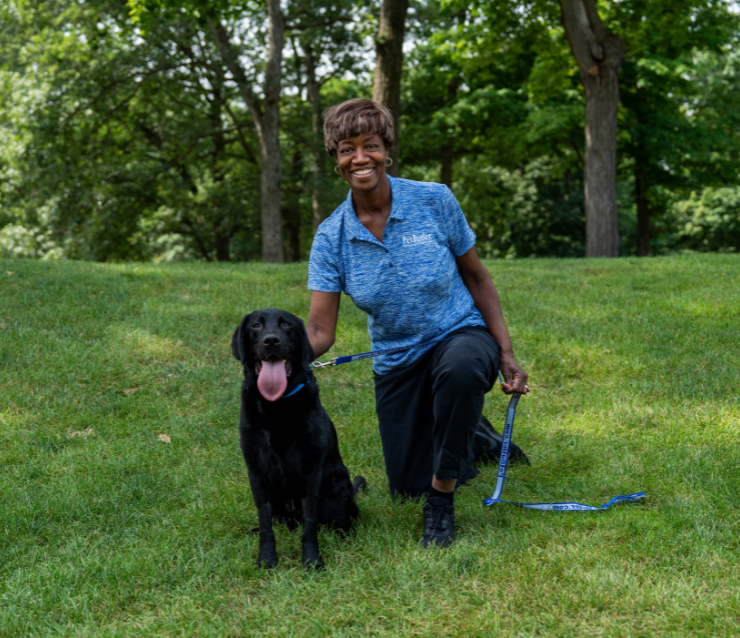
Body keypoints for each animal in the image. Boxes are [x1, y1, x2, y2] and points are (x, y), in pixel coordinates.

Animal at [231, 310, 364, 568]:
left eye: (286, 324)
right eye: (255, 325)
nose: (271, 340)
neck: (277, 406)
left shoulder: (310, 472)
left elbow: (310, 526)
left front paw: (312, 560)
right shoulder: (256, 472)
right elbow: (265, 523)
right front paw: (267, 559)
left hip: (333, 495)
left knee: (342, 523)